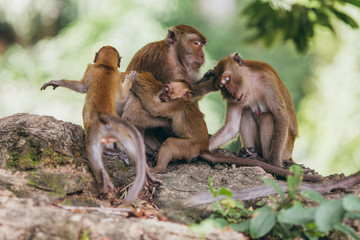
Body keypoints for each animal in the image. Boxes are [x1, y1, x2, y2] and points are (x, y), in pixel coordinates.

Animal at [40, 45, 149, 201]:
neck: (106, 66)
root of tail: (105, 114)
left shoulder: (91, 68)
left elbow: (82, 88)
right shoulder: (118, 75)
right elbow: (121, 96)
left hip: (94, 128)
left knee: (92, 150)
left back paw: (104, 174)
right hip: (117, 128)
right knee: (129, 144)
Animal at [131, 77, 320, 182]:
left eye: (168, 90)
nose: (163, 93)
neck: (184, 101)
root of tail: (202, 148)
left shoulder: (175, 104)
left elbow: (154, 109)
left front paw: (136, 87)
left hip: (188, 147)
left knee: (171, 143)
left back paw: (158, 169)